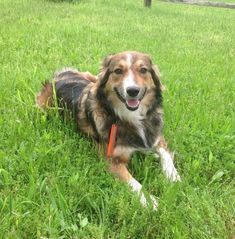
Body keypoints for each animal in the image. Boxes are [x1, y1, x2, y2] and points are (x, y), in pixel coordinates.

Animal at [36, 50, 181, 209]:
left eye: (143, 70)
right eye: (118, 71)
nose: (133, 91)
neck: (131, 117)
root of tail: (60, 74)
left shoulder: (156, 137)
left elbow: (165, 155)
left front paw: (173, 177)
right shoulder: (111, 160)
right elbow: (133, 182)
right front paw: (150, 201)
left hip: (91, 78)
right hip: (42, 107)